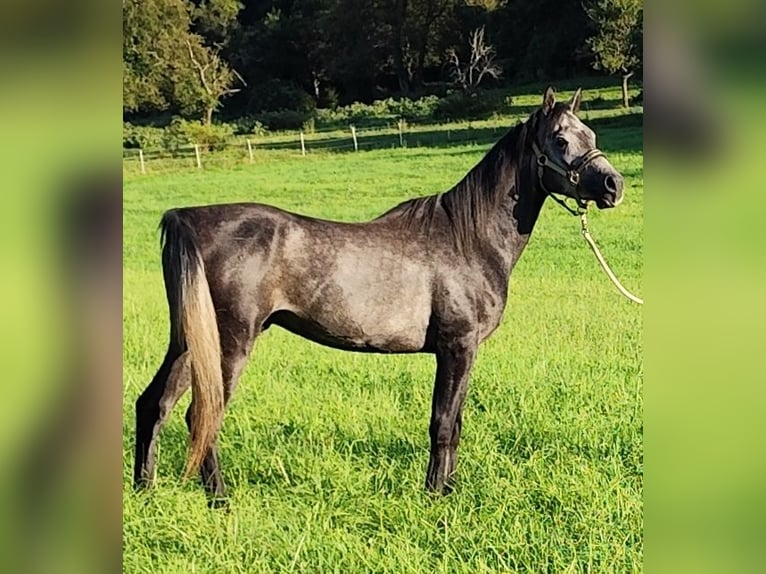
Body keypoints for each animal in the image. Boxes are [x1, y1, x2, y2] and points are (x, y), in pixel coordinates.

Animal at [134, 86, 624, 504]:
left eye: (591, 135)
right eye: (560, 139)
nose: (613, 185)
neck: (467, 237)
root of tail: (188, 218)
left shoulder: (462, 353)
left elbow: (456, 423)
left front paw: (448, 491)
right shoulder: (457, 347)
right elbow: (442, 423)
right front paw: (435, 497)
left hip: (189, 342)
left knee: (154, 404)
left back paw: (146, 492)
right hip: (228, 343)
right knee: (202, 415)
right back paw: (219, 499)